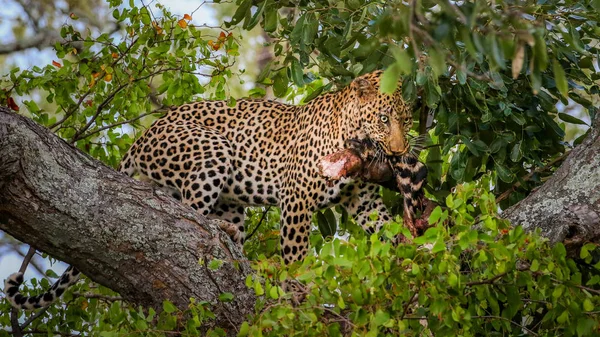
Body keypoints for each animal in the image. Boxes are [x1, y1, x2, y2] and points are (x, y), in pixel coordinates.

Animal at [4, 69, 426, 308]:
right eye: (383, 118)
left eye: (405, 120)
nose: (399, 151)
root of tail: (143, 135)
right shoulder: (297, 198)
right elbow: (296, 254)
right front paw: (297, 289)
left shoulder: (362, 201)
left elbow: (386, 227)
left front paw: (412, 256)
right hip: (212, 151)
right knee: (188, 218)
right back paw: (218, 232)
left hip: (230, 195)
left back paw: (232, 235)